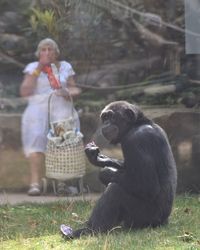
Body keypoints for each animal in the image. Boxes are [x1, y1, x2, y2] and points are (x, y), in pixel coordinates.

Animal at [62, 100, 177, 238]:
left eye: (111, 117)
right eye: (105, 118)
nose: (106, 123)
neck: (137, 125)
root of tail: (164, 221)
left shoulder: (137, 141)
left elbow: (148, 186)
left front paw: (107, 173)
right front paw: (100, 158)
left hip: (144, 219)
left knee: (115, 189)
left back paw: (89, 230)